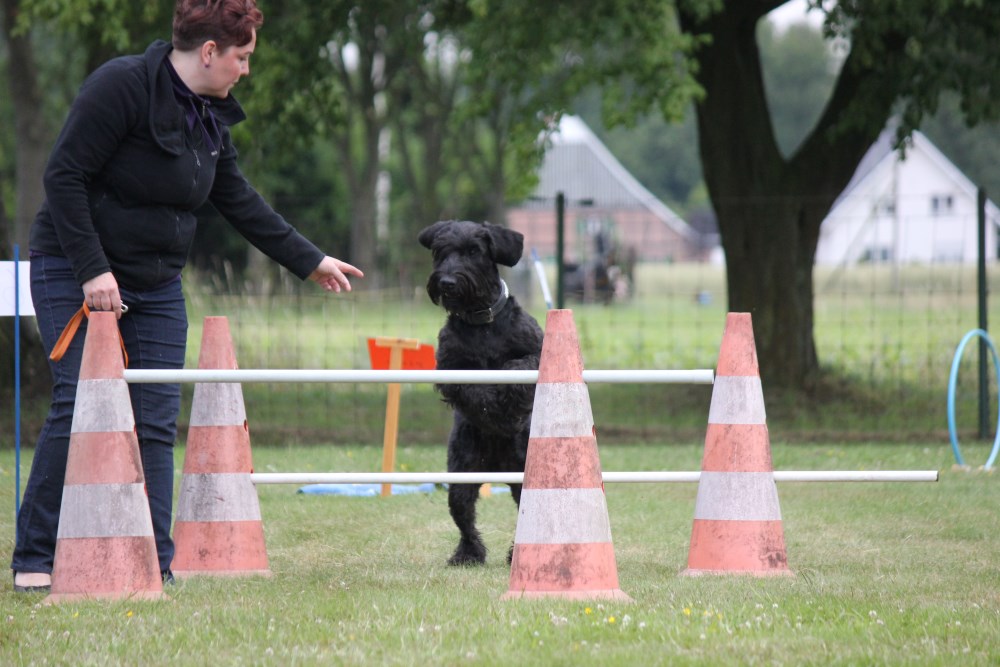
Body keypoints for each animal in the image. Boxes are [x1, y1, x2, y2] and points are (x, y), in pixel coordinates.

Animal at [416, 222, 544, 568]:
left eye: (473, 251)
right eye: (440, 251)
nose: (446, 282)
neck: (481, 321)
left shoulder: (537, 350)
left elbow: (517, 365)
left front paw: (508, 405)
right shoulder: (450, 367)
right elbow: (472, 389)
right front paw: (494, 409)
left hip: (522, 476)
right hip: (462, 475)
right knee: (464, 515)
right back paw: (467, 554)